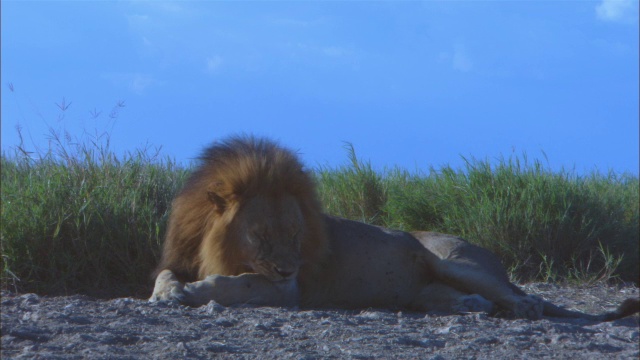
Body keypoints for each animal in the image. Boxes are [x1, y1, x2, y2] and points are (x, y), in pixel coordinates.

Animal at [149, 135, 636, 320]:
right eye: (262, 234)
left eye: (296, 234)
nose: (288, 267)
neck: (218, 246)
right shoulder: (185, 255)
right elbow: (164, 273)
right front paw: (167, 291)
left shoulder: (287, 290)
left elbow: (238, 285)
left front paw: (195, 292)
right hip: (431, 287)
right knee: (470, 300)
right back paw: (471, 307)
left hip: (454, 260)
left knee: (527, 298)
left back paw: (517, 309)